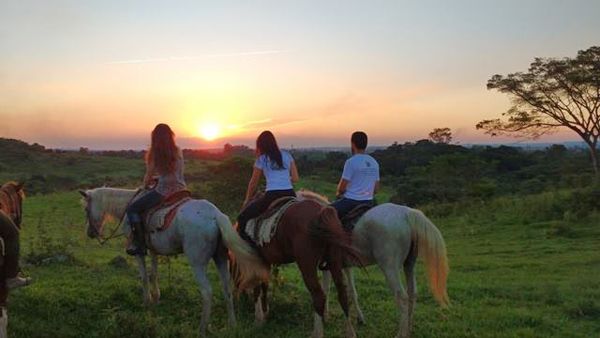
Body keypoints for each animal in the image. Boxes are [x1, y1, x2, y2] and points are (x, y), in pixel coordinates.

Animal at [77, 186, 268, 336]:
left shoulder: (139, 252)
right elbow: (154, 274)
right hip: (221, 258)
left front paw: (146, 301)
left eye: (86, 210)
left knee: (207, 292)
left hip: (197, 264)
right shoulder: (153, 250)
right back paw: (232, 324)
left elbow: (144, 277)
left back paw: (202, 329)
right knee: (227, 289)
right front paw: (156, 297)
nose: (90, 233)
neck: (126, 208)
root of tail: (215, 215)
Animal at [230, 198, 360, 338]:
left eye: (232, 270)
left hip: (307, 265)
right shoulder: (266, 262)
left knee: (319, 296)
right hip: (334, 260)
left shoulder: (257, 261)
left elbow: (257, 288)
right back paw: (350, 332)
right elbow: (264, 285)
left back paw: (317, 333)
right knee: (342, 293)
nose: (239, 297)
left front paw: (258, 319)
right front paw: (265, 312)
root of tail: (322, 212)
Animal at [298, 190, 448, 338]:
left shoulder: (328, 266)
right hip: (409, 264)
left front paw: (323, 318)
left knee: (402, 297)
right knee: (413, 292)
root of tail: (406, 213)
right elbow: (352, 291)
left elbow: (325, 290)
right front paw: (359, 318)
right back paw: (409, 328)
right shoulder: (346, 266)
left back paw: (401, 333)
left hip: (389, 268)